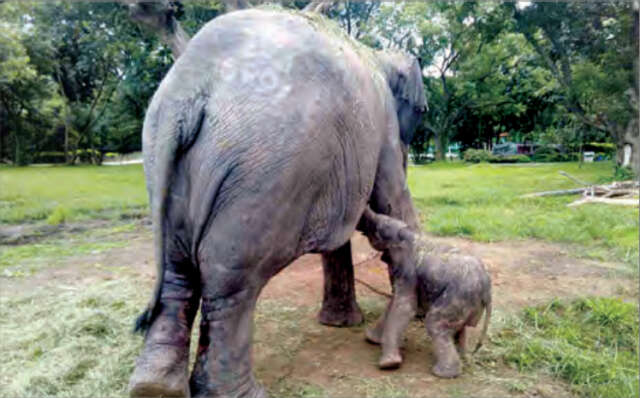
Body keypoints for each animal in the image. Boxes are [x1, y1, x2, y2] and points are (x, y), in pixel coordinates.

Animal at [128, 7, 428, 398]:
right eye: (421, 111)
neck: (375, 53)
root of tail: (189, 85)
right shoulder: (385, 129)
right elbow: (391, 194)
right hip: (265, 172)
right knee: (231, 280)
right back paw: (241, 393)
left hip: (161, 160)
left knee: (177, 271)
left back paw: (155, 387)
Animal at [358, 207, 492, 378]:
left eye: (376, 226)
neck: (405, 233)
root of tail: (488, 287)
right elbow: (394, 302)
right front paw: (371, 339)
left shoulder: (407, 270)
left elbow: (404, 307)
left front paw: (388, 365)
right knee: (456, 327)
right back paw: (462, 358)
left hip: (459, 295)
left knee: (435, 323)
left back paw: (442, 373)